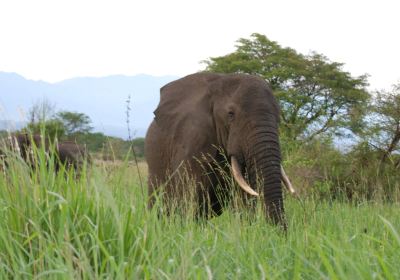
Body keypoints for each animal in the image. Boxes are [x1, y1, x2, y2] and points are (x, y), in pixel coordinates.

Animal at [145, 72, 296, 228]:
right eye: (230, 114)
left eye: (278, 117)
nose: (280, 232)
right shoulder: (188, 141)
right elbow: (190, 199)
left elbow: (243, 200)